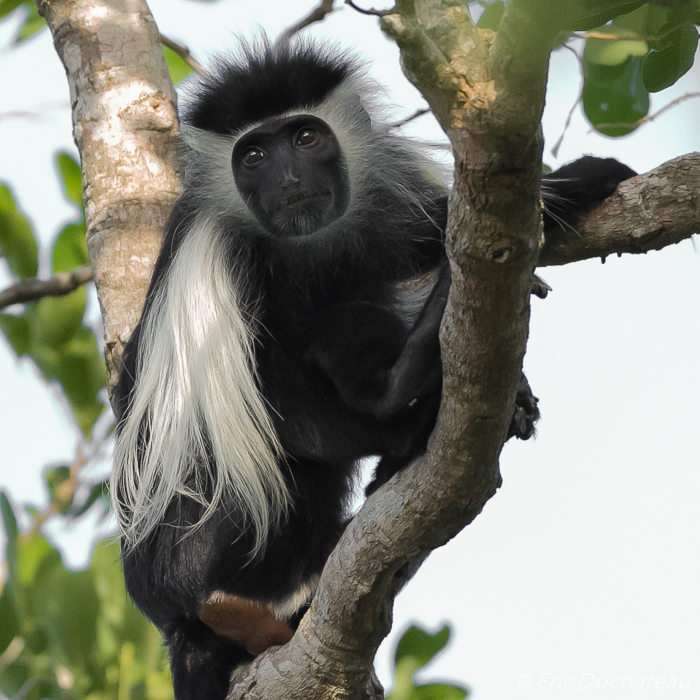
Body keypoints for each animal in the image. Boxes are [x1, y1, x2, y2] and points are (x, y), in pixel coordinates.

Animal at [110, 39, 636, 700]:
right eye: (253, 155)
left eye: (307, 138)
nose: (288, 178)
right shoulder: (220, 261)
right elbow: (276, 410)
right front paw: (410, 420)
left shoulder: (391, 204)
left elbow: (449, 227)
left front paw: (568, 188)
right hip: (210, 550)